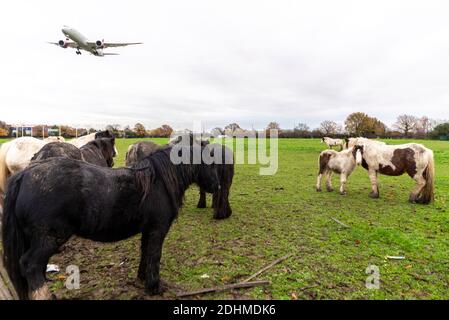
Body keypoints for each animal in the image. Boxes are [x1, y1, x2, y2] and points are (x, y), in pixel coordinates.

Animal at [1, 144, 219, 298]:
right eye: (208, 162)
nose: (216, 186)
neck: (158, 182)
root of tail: (24, 175)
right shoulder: (157, 230)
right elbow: (154, 256)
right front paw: (154, 287)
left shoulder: (147, 230)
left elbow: (145, 253)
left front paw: (142, 280)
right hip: (49, 240)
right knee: (30, 266)